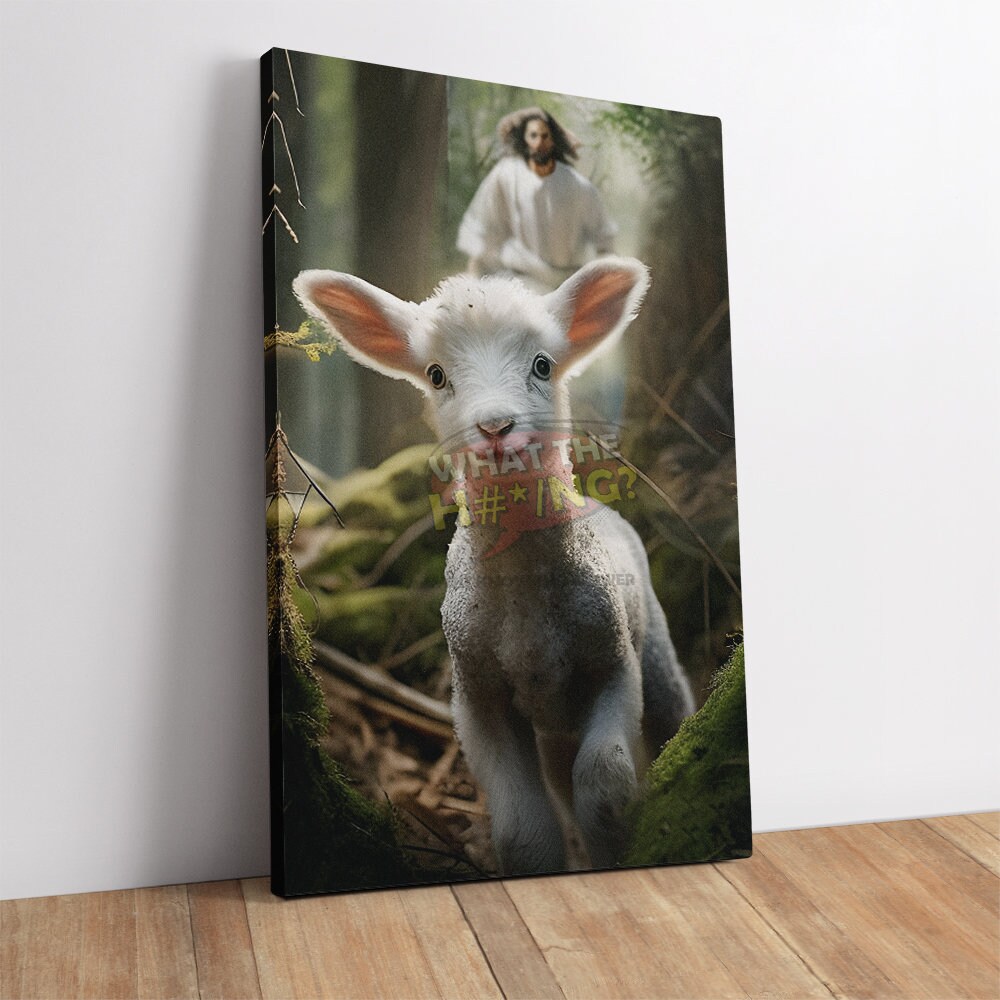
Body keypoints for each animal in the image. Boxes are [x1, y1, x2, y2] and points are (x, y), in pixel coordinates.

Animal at [294, 257, 694, 875]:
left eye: (542, 365)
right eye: (436, 375)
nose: (496, 428)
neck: (527, 615)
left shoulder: (613, 664)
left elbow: (605, 784)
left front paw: (622, 848)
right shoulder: (477, 697)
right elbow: (523, 831)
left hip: (653, 649)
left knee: (672, 716)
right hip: (554, 721)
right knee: (560, 775)